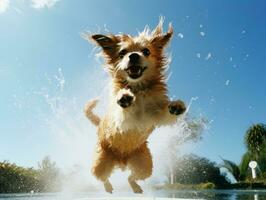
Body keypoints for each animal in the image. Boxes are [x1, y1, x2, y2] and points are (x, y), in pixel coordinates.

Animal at [83, 19, 185, 194]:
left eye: (146, 51)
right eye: (122, 53)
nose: (134, 55)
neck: (139, 89)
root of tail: (122, 162)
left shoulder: (155, 115)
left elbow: (164, 113)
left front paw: (176, 107)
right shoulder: (120, 122)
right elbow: (123, 112)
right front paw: (124, 97)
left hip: (144, 166)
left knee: (131, 177)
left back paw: (136, 187)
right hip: (101, 164)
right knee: (102, 178)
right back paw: (108, 187)